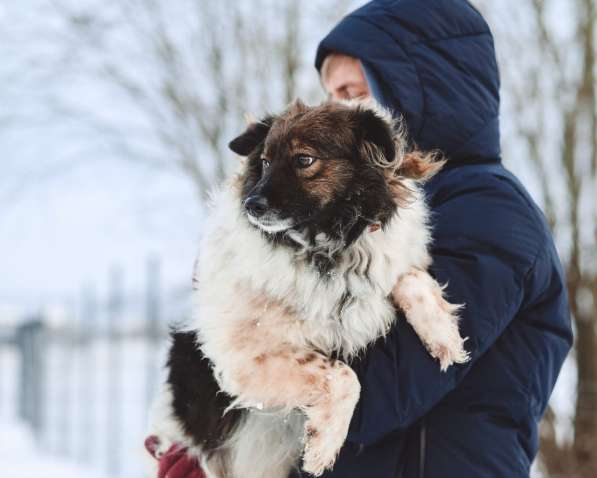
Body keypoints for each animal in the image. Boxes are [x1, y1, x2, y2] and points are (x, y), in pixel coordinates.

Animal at [147, 100, 468, 478]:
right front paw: (323, 446)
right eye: (265, 161)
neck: (329, 249)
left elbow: (408, 276)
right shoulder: (245, 355)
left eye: (304, 159)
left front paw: (443, 334)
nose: (251, 205)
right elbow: (345, 377)